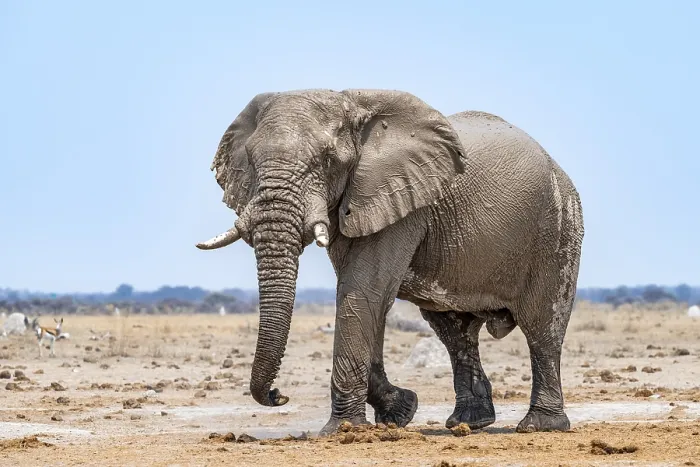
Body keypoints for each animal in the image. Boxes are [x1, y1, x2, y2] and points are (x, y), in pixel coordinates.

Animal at [196, 89, 585, 435]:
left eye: (327, 161)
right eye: (250, 160)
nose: (279, 395)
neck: (351, 104)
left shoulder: (401, 197)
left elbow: (362, 292)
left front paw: (343, 431)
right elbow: (369, 301)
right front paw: (400, 412)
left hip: (558, 228)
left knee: (542, 326)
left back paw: (540, 426)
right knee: (455, 332)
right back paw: (469, 423)